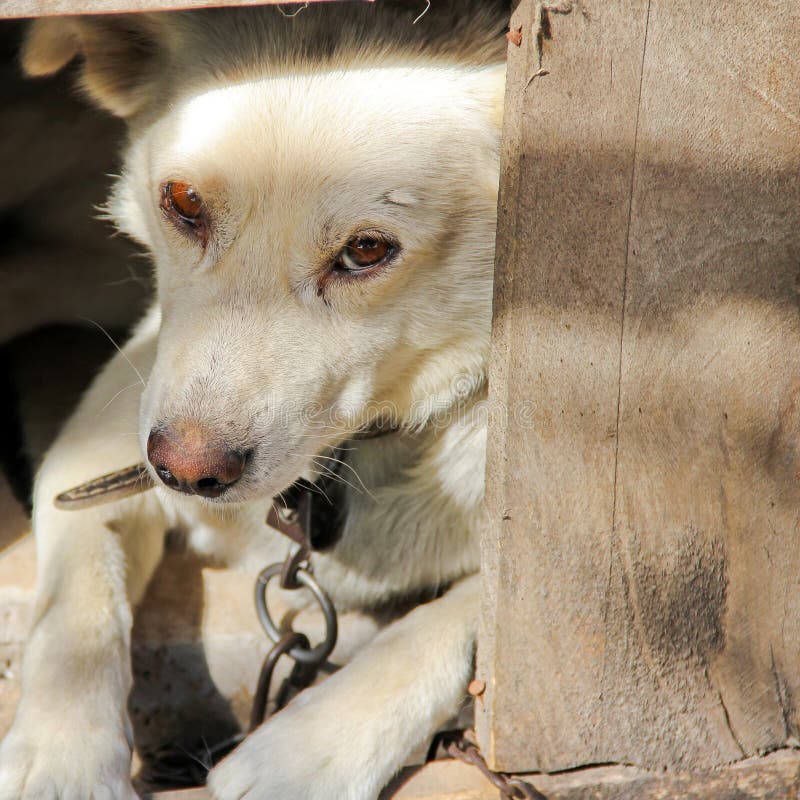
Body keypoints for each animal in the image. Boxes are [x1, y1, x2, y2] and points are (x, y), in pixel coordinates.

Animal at [1, 6, 506, 800]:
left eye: (367, 250)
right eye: (184, 203)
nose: (185, 472)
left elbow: (458, 618)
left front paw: (304, 754)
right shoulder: (98, 452)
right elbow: (75, 611)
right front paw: (60, 758)